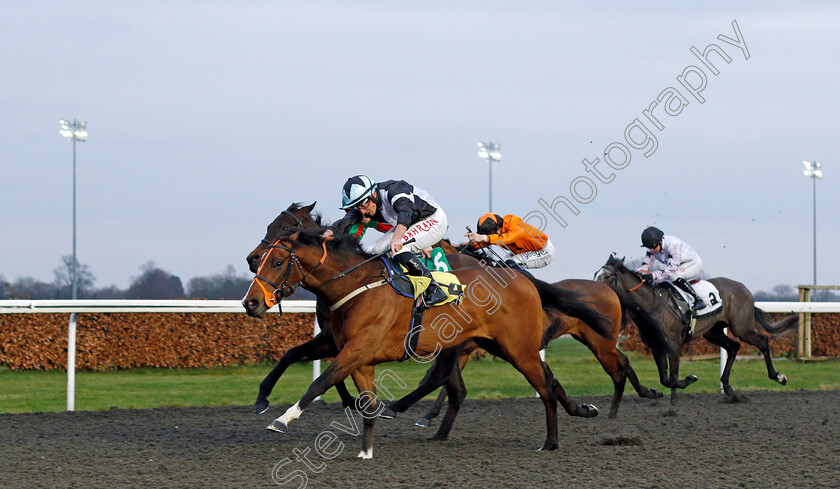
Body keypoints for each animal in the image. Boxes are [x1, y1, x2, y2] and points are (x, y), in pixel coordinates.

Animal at [241, 230, 604, 458]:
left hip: (519, 349)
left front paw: (282, 419)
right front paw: (366, 449)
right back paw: (581, 411)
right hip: (496, 345)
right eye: (260, 261)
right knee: (543, 380)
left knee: (544, 387)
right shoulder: (356, 355)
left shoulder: (356, 349)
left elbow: (319, 382)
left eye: (277, 262)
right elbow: (358, 397)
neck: (356, 286)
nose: (251, 303)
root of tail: (522, 278)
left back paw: (551, 442)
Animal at [592, 255, 796, 404]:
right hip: (713, 332)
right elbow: (665, 379)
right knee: (734, 347)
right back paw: (729, 389)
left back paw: (778, 377)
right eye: (595, 274)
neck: (652, 305)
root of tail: (744, 289)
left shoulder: (673, 345)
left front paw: (684, 388)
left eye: (607, 276)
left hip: (742, 327)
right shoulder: (656, 347)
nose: (595, 292)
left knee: (762, 341)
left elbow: (673, 378)